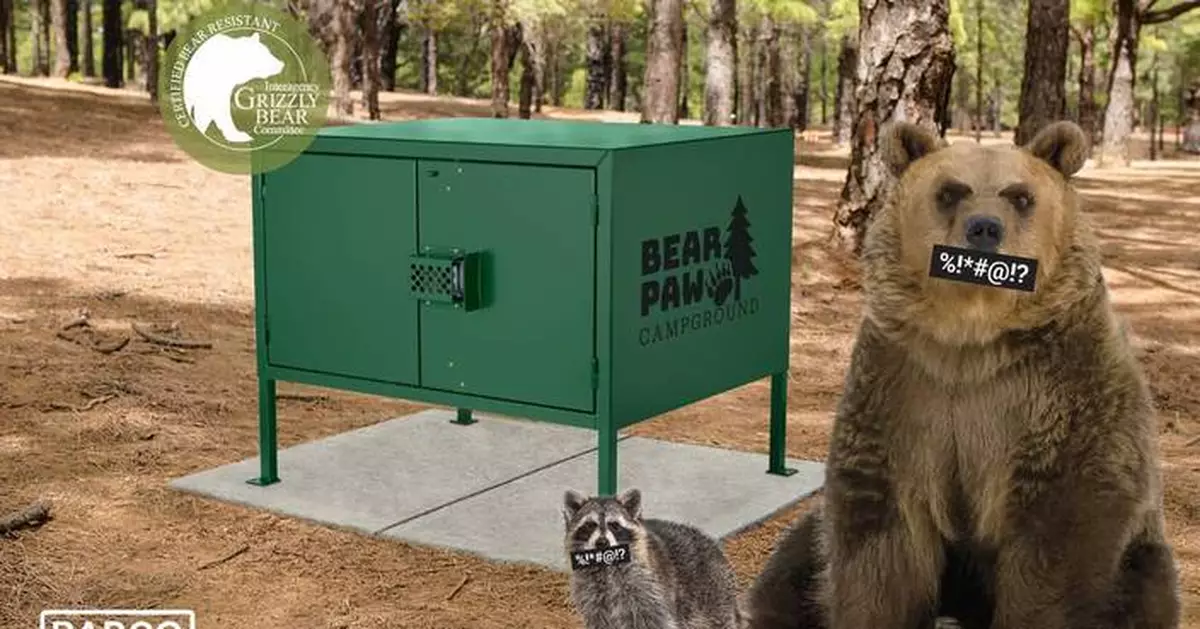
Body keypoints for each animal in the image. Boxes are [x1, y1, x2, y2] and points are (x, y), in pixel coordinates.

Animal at [744, 120, 1180, 629]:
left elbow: (1063, 531)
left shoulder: (1062, 387)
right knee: (797, 558)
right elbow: (879, 539)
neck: (969, 341)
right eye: (951, 192)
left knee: (1147, 587)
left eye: (1020, 196)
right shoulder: (904, 387)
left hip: (1142, 556)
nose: (984, 228)